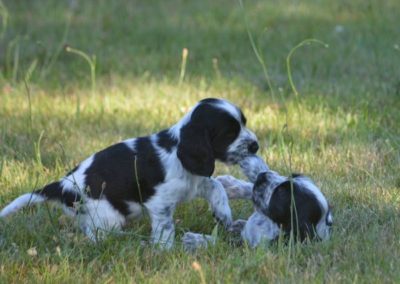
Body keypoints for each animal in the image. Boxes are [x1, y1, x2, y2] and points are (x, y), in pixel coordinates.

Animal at [0, 98, 260, 248]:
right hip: (108, 217)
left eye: (244, 123)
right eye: (229, 133)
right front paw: (165, 249)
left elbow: (216, 186)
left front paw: (223, 213)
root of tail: (63, 185)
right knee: (97, 236)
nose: (256, 146)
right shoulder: (160, 202)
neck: (176, 148)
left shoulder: (194, 182)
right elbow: (165, 227)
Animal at [183, 154, 332, 250]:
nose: (262, 176)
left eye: (281, 193)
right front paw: (230, 184)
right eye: (291, 176)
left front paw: (194, 240)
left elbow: (225, 243)